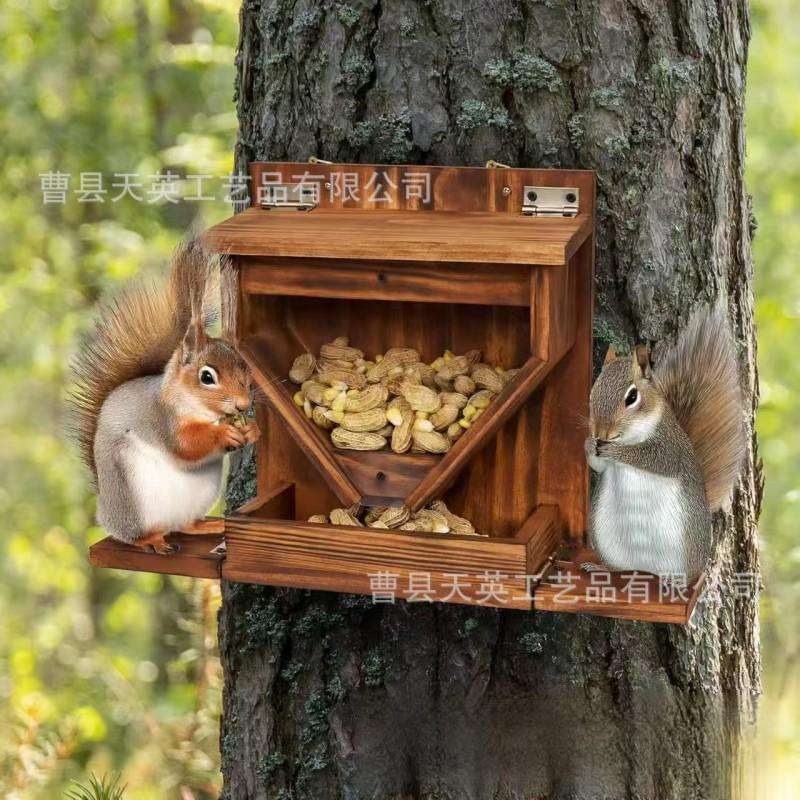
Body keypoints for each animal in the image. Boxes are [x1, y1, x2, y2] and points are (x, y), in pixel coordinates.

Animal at [70, 241, 259, 554]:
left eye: (245, 368)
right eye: (207, 377)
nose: (243, 405)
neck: (199, 410)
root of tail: (106, 512)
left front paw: (252, 430)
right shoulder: (162, 419)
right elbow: (185, 445)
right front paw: (223, 435)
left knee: (185, 525)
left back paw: (208, 526)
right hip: (132, 499)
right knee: (135, 534)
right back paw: (152, 540)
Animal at [585, 307, 745, 581]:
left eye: (632, 397)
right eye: (593, 390)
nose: (601, 432)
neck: (633, 434)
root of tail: (647, 569)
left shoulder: (671, 447)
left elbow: (656, 460)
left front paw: (618, 450)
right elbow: (599, 466)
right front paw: (589, 444)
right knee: (619, 567)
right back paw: (601, 568)